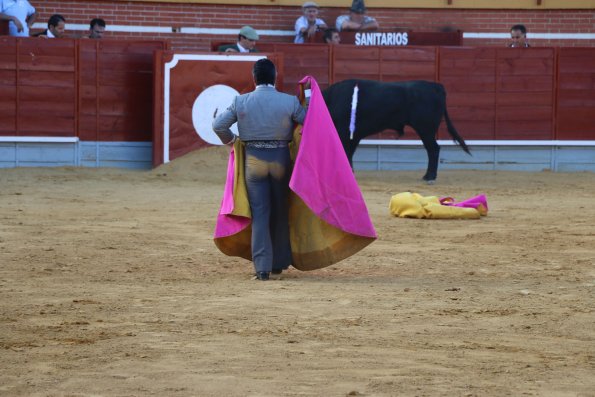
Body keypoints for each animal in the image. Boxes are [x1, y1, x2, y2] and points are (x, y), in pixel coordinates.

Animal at [324, 79, 472, 182]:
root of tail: (436, 87)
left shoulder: (345, 133)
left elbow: (345, 152)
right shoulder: (354, 135)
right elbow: (348, 153)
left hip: (426, 129)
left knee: (433, 149)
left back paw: (429, 177)